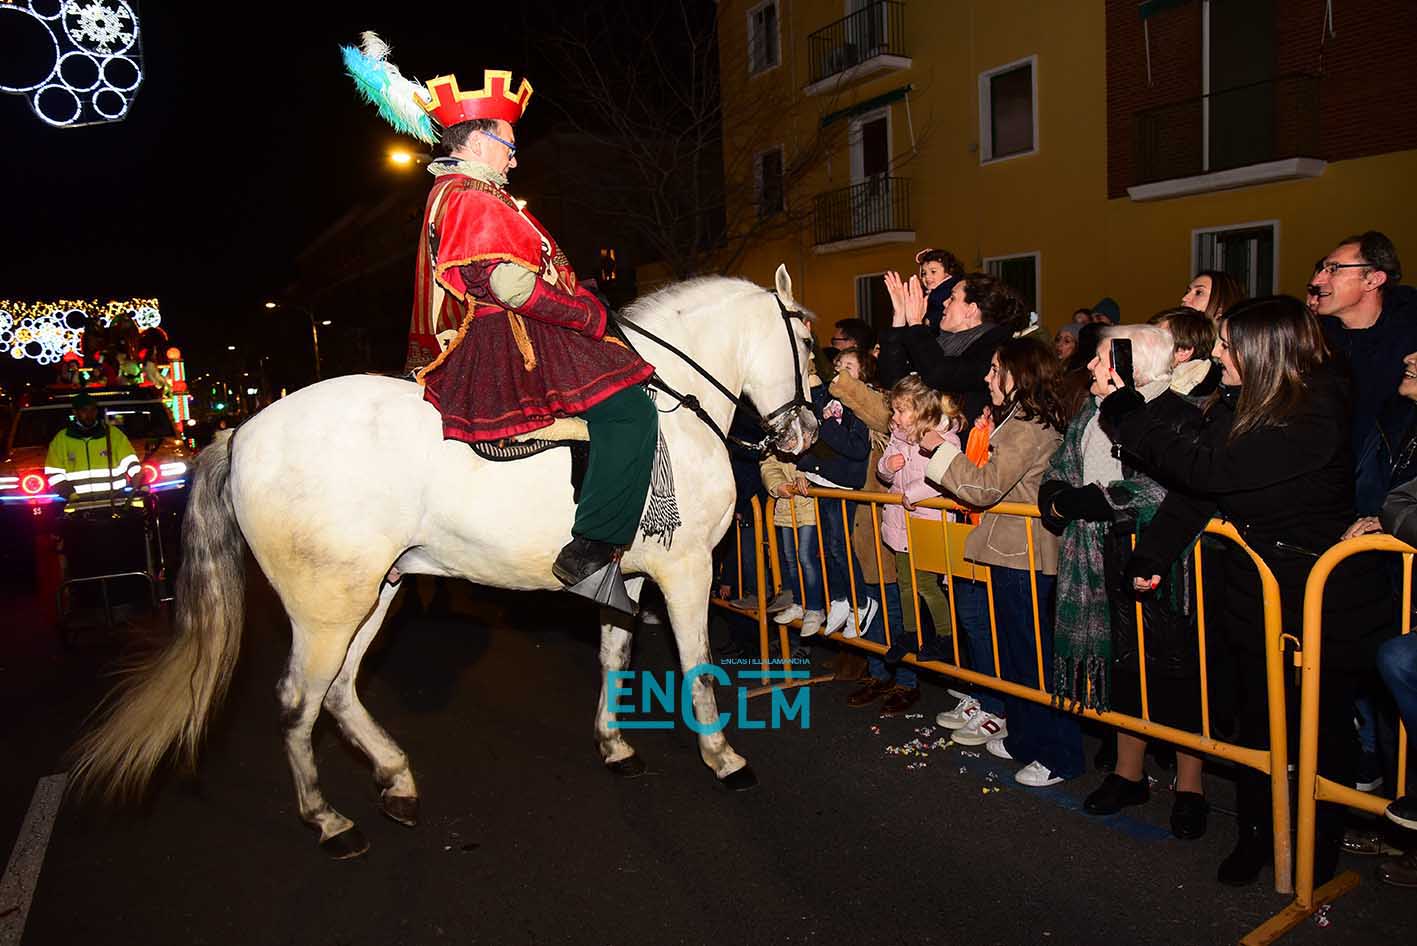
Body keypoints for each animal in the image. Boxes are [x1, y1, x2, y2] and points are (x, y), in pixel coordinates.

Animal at [71, 267, 820, 858]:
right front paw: (724, 758)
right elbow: (697, 666)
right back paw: (329, 821)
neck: (674, 408)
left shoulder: (631, 577)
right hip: (326, 608)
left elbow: (615, 656)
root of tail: (242, 432)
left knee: (338, 691)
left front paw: (614, 745)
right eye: (809, 344)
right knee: (297, 701)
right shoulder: (687, 571)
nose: (807, 432)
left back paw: (396, 781)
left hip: (374, 594)